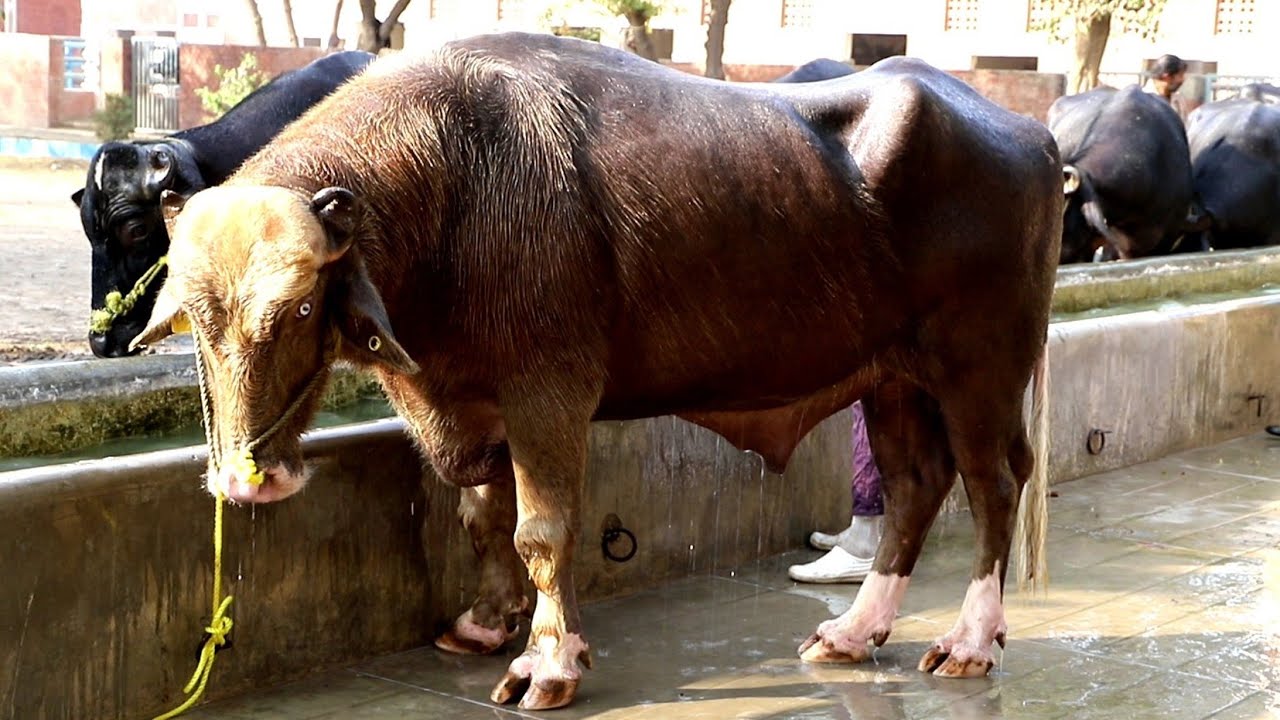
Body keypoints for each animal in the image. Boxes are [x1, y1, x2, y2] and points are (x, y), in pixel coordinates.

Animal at [134, 33, 1058, 711]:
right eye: (195, 319)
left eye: (297, 311)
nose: (247, 481)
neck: (456, 181)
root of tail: (1032, 134)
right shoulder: (472, 397)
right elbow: (481, 515)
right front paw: (485, 624)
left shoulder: (549, 393)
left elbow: (541, 531)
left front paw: (549, 662)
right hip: (891, 376)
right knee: (915, 483)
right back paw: (853, 632)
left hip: (982, 361)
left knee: (993, 480)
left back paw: (969, 642)